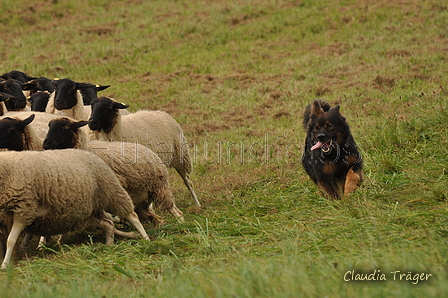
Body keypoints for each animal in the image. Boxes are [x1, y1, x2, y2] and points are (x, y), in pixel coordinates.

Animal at [0, 149, 150, 268]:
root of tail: (88, 152)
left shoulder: (23, 210)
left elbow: (10, 240)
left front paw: (5, 265)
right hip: (86, 214)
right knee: (108, 224)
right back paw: (109, 245)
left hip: (111, 191)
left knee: (132, 215)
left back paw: (146, 239)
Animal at [43, 117, 185, 225]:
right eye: (49, 126)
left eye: (66, 127)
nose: (46, 144)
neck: (87, 149)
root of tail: (150, 151)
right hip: (143, 199)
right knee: (156, 217)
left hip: (160, 187)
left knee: (176, 211)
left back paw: (181, 225)